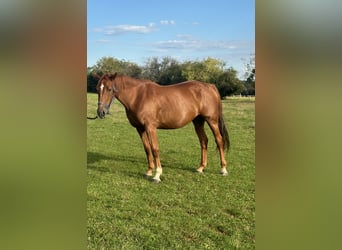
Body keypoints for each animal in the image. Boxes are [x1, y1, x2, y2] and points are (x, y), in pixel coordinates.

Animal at [95, 73, 231, 183]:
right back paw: (201, 168)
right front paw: (149, 171)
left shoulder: (150, 127)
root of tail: (210, 86)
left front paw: (157, 175)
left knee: (219, 140)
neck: (138, 96)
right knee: (203, 141)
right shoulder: (140, 128)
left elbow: (155, 149)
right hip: (198, 121)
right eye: (97, 89)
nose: (101, 112)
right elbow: (147, 149)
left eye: (109, 89)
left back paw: (223, 169)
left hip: (211, 120)